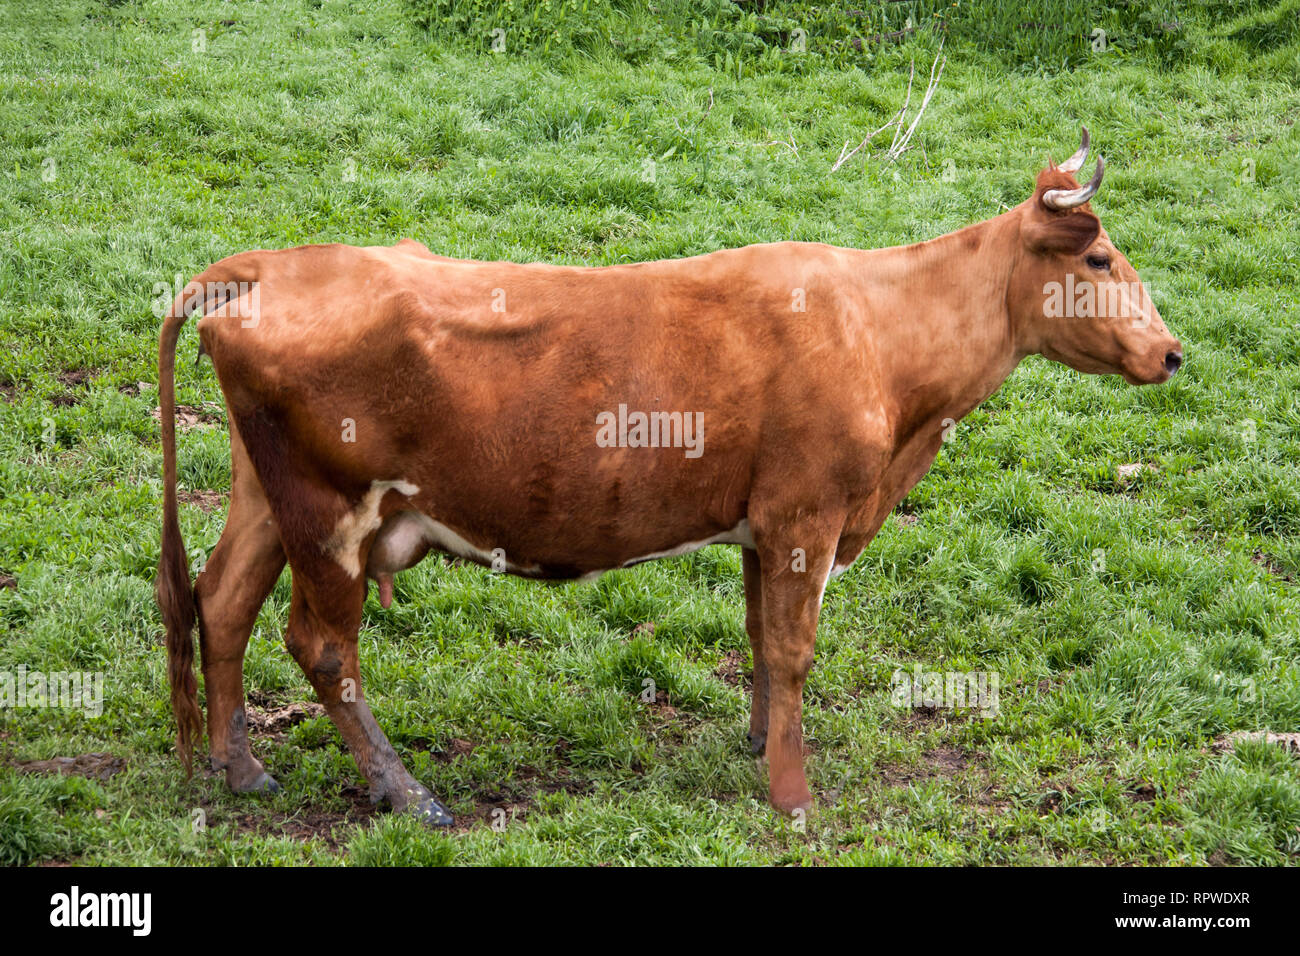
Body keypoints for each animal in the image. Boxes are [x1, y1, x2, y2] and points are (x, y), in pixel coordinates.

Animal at [156, 129, 1182, 825]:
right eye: (1098, 256)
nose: (1172, 352)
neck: (877, 331)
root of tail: (269, 263)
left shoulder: (765, 526)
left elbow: (762, 641)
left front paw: (763, 744)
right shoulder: (807, 515)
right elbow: (794, 649)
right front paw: (793, 795)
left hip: (265, 501)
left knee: (222, 603)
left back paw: (241, 769)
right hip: (328, 516)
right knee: (322, 648)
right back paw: (405, 790)